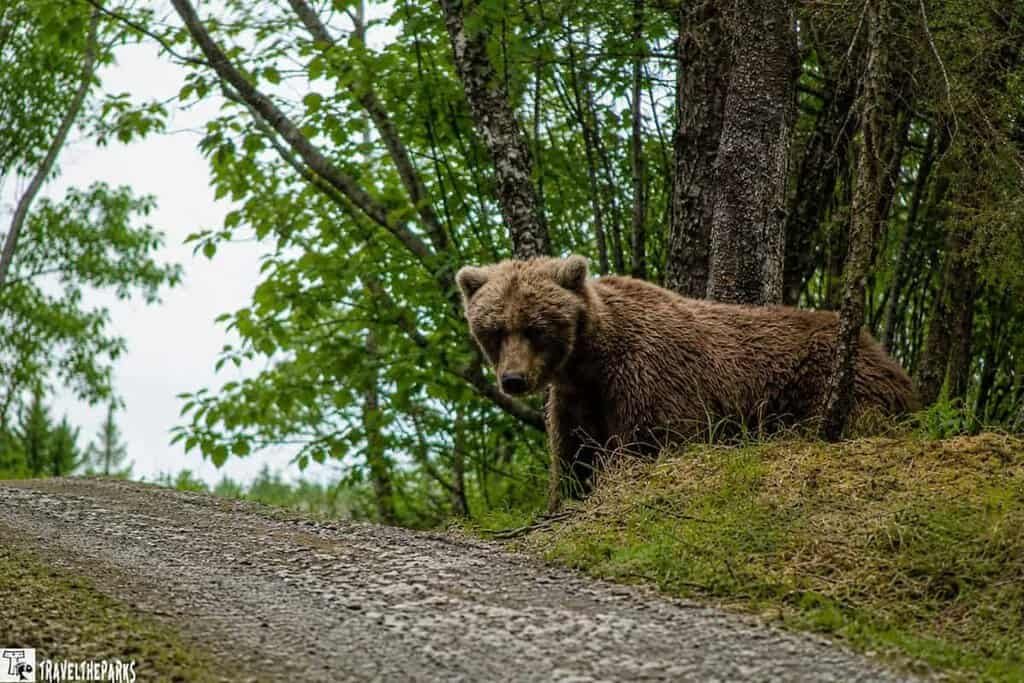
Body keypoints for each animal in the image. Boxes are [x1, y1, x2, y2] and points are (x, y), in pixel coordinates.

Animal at [456, 255, 918, 512]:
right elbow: (574, 455)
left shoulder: (647, 379)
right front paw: (566, 498)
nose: (513, 380)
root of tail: (882, 351)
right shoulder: (577, 399)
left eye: (535, 328)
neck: (589, 361)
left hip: (834, 384)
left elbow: (652, 442)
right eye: (495, 330)